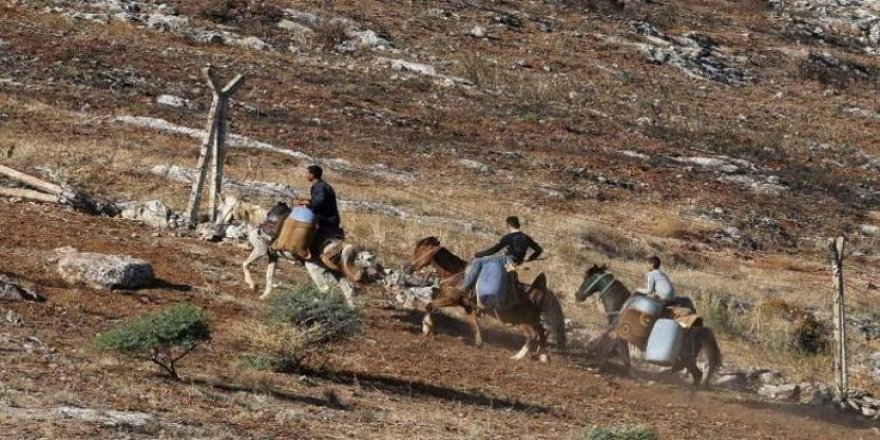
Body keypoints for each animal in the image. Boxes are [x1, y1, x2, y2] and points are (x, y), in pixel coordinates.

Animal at [404, 237, 568, 360]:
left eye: (420, 250)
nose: (408, 268)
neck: (456, 274)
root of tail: (536, 294)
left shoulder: (451, 299)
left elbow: (429, 305)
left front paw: (426, 327)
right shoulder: (468, 307)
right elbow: (474, 326)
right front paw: (479, 344)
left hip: (523, 321)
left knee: (533, 335)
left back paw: (518, 356)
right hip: (532, 320)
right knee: (543, 333)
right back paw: (541, 355)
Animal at [576, 264, 720, 384]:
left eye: (587, 278)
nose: (577, 295)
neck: (622, 305)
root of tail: (700, 327)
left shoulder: (619, 336)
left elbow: (616, 352)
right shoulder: (619, 337)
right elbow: (613, 350)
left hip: (685, 354)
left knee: (695, 373)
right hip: (685, 355)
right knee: (685, 369)